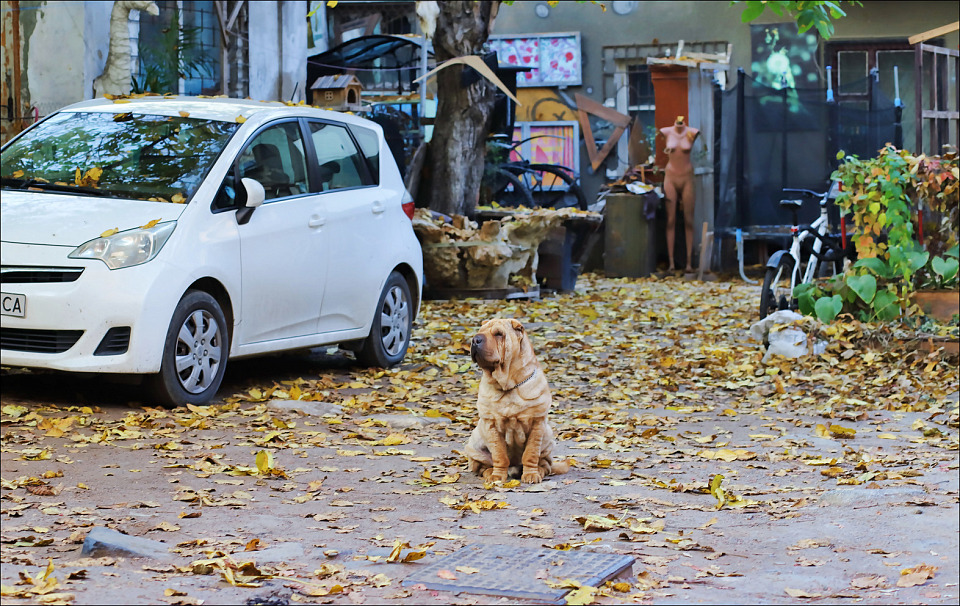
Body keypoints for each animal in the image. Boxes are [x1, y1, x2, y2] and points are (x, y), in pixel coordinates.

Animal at [462, 318, 568, 484]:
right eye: (479, 332)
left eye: (499, 334)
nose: (475, 340)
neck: (508, 385)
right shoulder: (491, 424)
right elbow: (499, 455)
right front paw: (497, 476)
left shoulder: (537, 423)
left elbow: (531, 453)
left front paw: (531, 475)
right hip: (474, 445)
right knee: (482, 466)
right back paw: (490, 473)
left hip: (548, 439)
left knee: (545, 464)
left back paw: (538, 471)